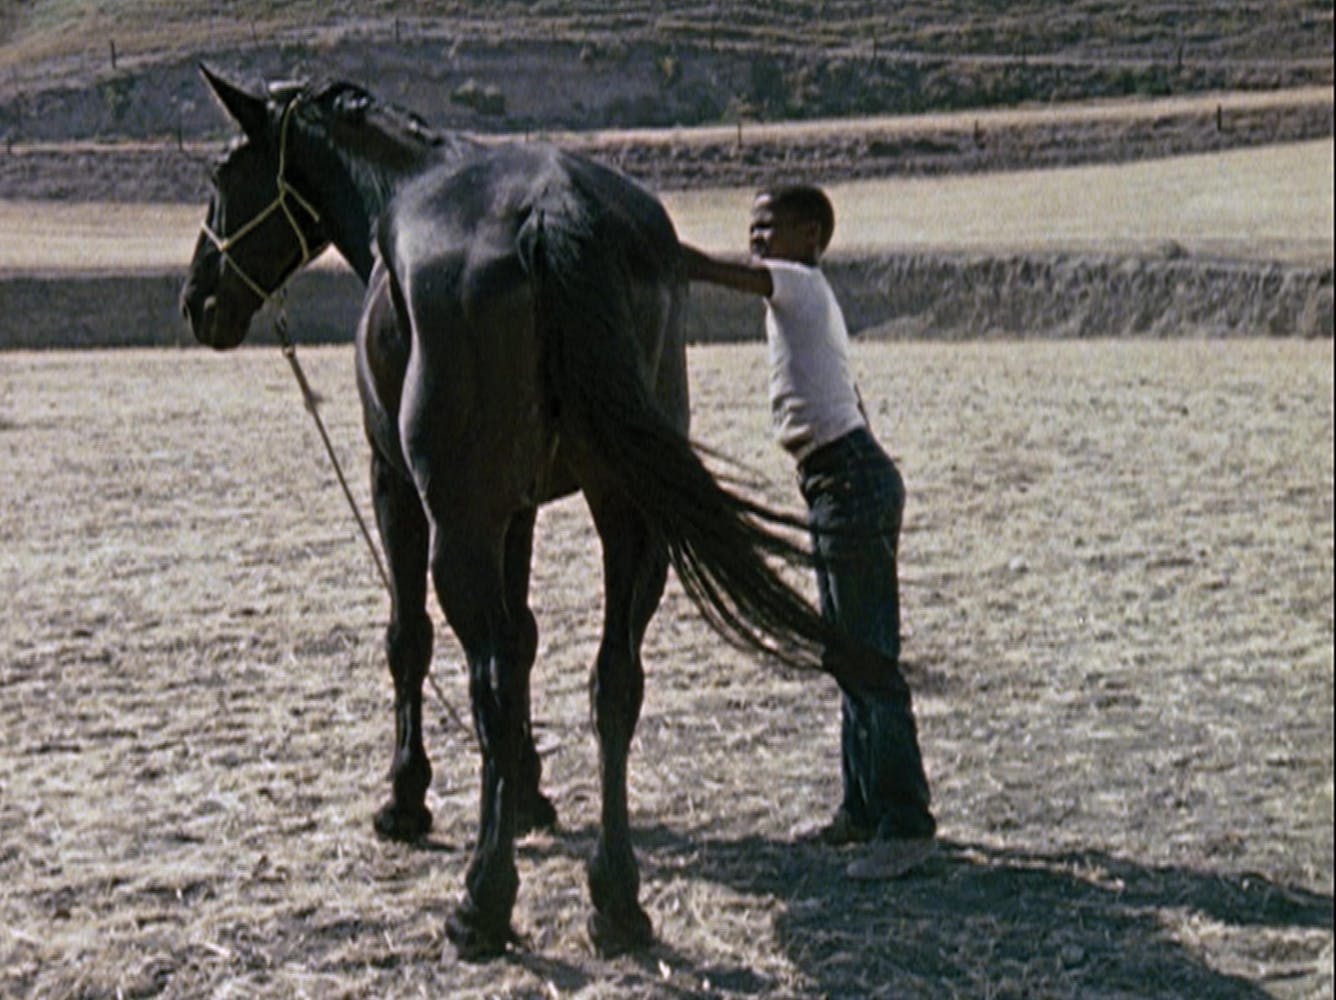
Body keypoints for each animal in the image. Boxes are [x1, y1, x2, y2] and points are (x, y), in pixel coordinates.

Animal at [180, 67, 900, 959]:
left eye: (222, 176)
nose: (196, 300)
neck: (404, 188)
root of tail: (552, 213)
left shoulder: (402, 490)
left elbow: (414, 641)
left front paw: (407, 798)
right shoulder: (517, 510)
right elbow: (525, 638)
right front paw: (528, 793)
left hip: (462, 524)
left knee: (486, 679)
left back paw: (483, 901)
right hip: (628, 513)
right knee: (615, 682)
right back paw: (616, 898)